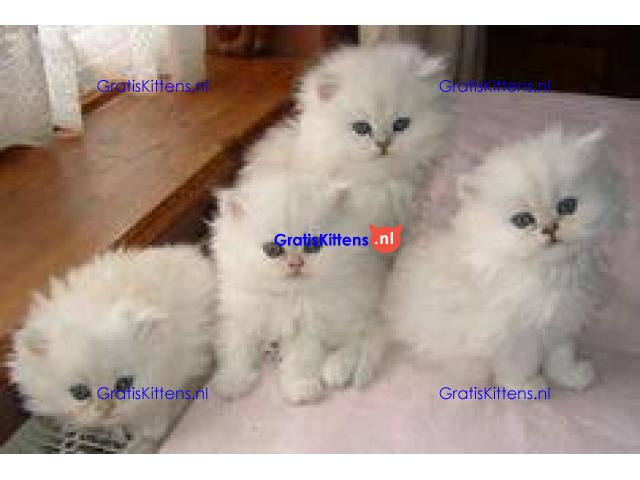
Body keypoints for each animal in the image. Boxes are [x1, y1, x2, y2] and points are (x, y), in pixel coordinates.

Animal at [9, 246, 217, 448]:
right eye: (80, 392)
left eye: (123, 385)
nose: (106, 410)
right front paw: (115, 432)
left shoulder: (176, 368)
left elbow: (155, 408)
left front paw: (150, 431)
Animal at [211, 172, 387, 404]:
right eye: (273, 250)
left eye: (312, 245)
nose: (295, 264)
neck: (286, 297)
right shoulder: (239, 317)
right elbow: (236, 352)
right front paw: (231, 383)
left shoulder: (309, 328)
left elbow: (299, 361)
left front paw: (300, 390)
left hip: (353, 309)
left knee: (360, 339)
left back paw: (335, 370)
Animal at [384, 127, 625, 391]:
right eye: (522, 221)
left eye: (567, 206)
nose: (550, 228)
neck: (546, 274)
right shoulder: (512, 337)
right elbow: (518, 367)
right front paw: (527, 387)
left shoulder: (560, 325)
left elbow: (560, 357)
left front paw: (571, 377)